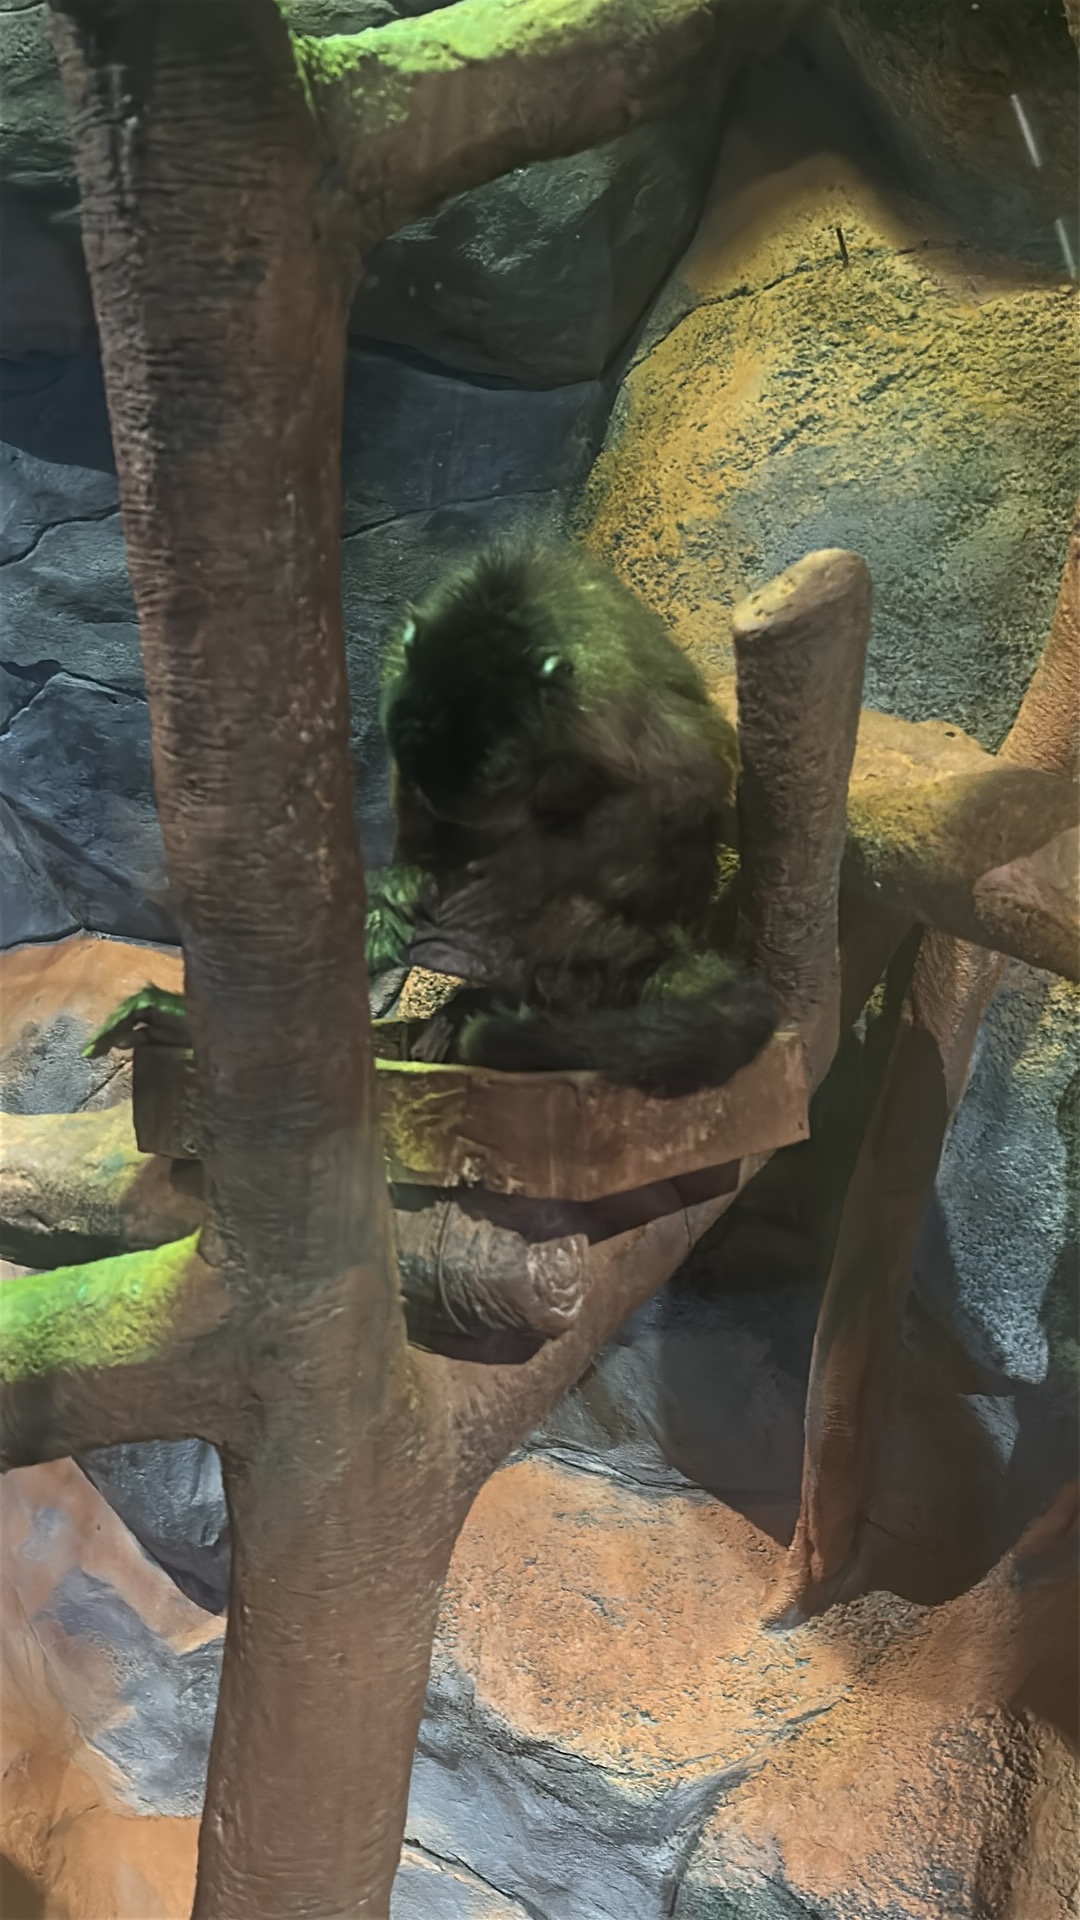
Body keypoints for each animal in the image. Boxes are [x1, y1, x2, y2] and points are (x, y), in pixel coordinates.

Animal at [365, 540, 777, 1098]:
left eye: (501, 772)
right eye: (418, 766)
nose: (462, 816)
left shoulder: (602, 701)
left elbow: (695, 772)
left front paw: (524, 871)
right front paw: (406, 881)